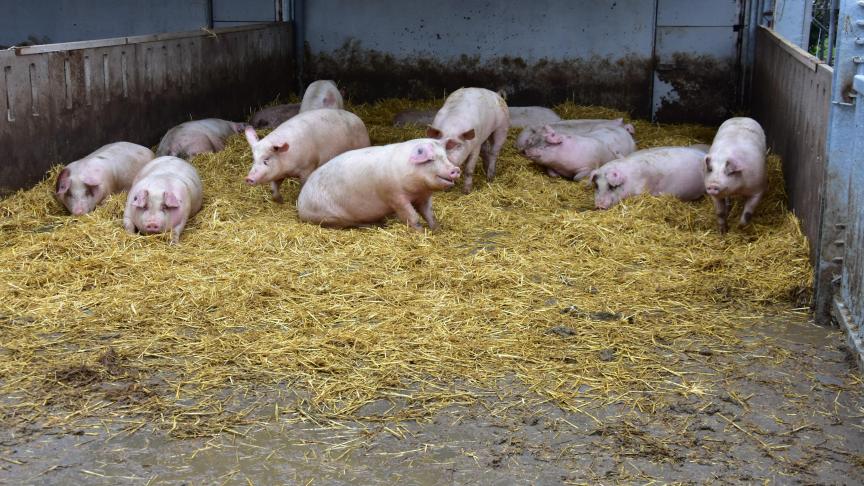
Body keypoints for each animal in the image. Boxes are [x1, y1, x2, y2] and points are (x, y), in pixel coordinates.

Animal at [241, 109, 370, 202]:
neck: (288, 170)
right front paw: (280, 201)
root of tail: (359, 119)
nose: (248, 178)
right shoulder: (278, 173)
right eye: (254, 159)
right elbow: (274, 188)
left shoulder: (307, 167)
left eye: (266, 159)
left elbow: (303, 184)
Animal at [296, 138, 460, 231]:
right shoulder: (395, 197)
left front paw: (438, 230)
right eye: (430, 159)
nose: (456, 169)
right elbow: (412, 217)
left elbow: (429, 214)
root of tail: (301, 202)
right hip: (331, 217)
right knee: (349, 224)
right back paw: (377, 225)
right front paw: (420, 232)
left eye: (445, 156)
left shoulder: (424, 197)